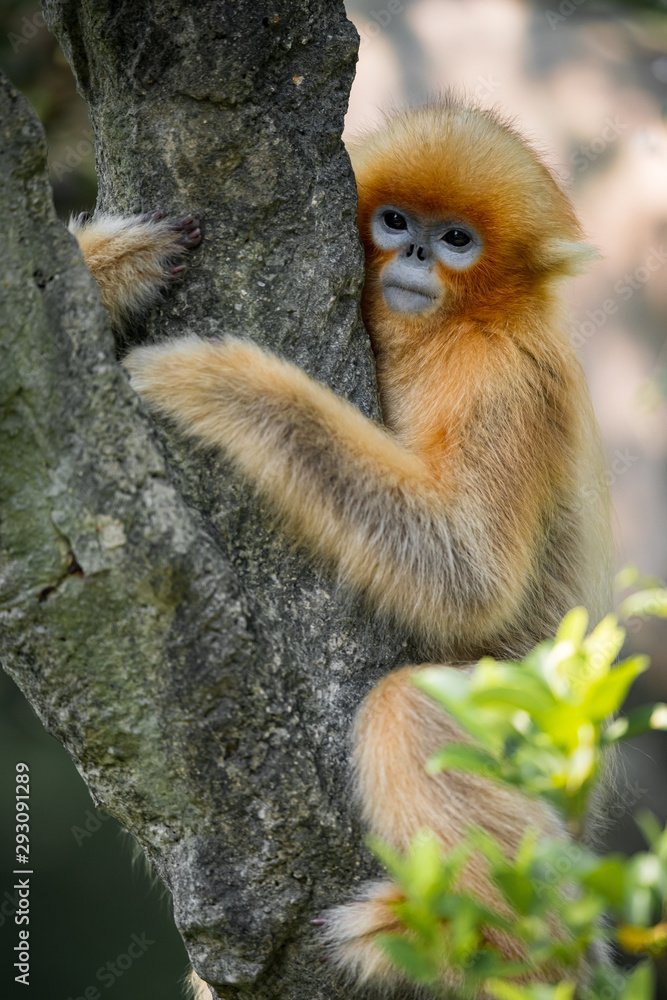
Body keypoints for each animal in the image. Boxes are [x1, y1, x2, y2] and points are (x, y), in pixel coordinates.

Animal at [68, 99, 613, 993]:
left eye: (456, 239)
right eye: (394, 222)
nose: (418, 252)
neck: (444, 329)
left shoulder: (501, 374)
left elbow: (468, 572)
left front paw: (220, 383)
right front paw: (110, 265)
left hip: (543, 748)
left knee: (408, 707)